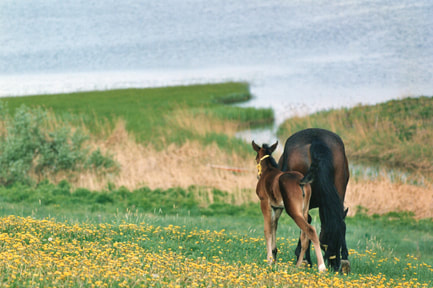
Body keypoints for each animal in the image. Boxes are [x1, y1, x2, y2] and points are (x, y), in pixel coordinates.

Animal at [251, 140, 326, 272]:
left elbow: (267, 230)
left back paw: (321, 267)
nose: (257, 176)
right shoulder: (277, 208)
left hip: (293, 211)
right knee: (304, 236)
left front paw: (269, 260)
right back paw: (298, 265)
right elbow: (274, 226)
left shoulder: (265, 203)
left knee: (310, 230)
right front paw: (274, 257)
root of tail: (301, 181)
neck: (268, 171)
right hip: (304, 211)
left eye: (256, 158)